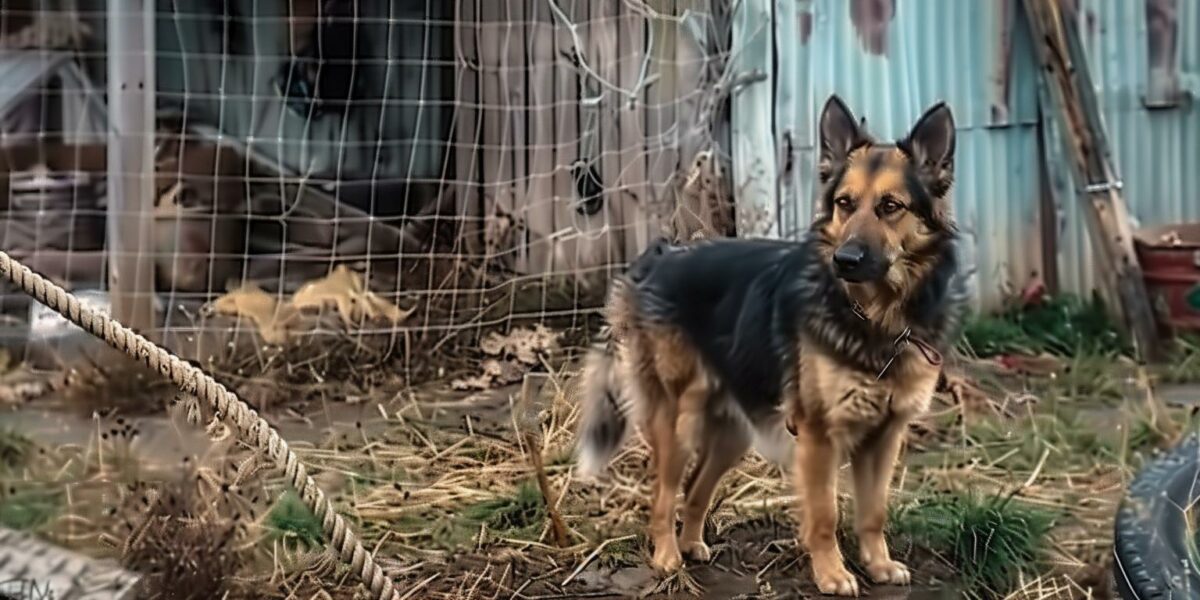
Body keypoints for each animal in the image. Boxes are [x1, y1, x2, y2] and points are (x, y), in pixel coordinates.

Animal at [576, 96, 969, 592]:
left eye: (890, 206)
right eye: (844, 204)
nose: (845, 260)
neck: (877, 317)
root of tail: (658, 256)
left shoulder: (885, 436)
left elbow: (873, 512)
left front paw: (879, 565)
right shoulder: (819, 435)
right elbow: (825, 514)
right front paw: (831, 573)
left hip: (732, 433)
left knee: (696, 487)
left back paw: (691, 543)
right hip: (678, 421)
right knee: (662, 494)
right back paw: (666, 556)